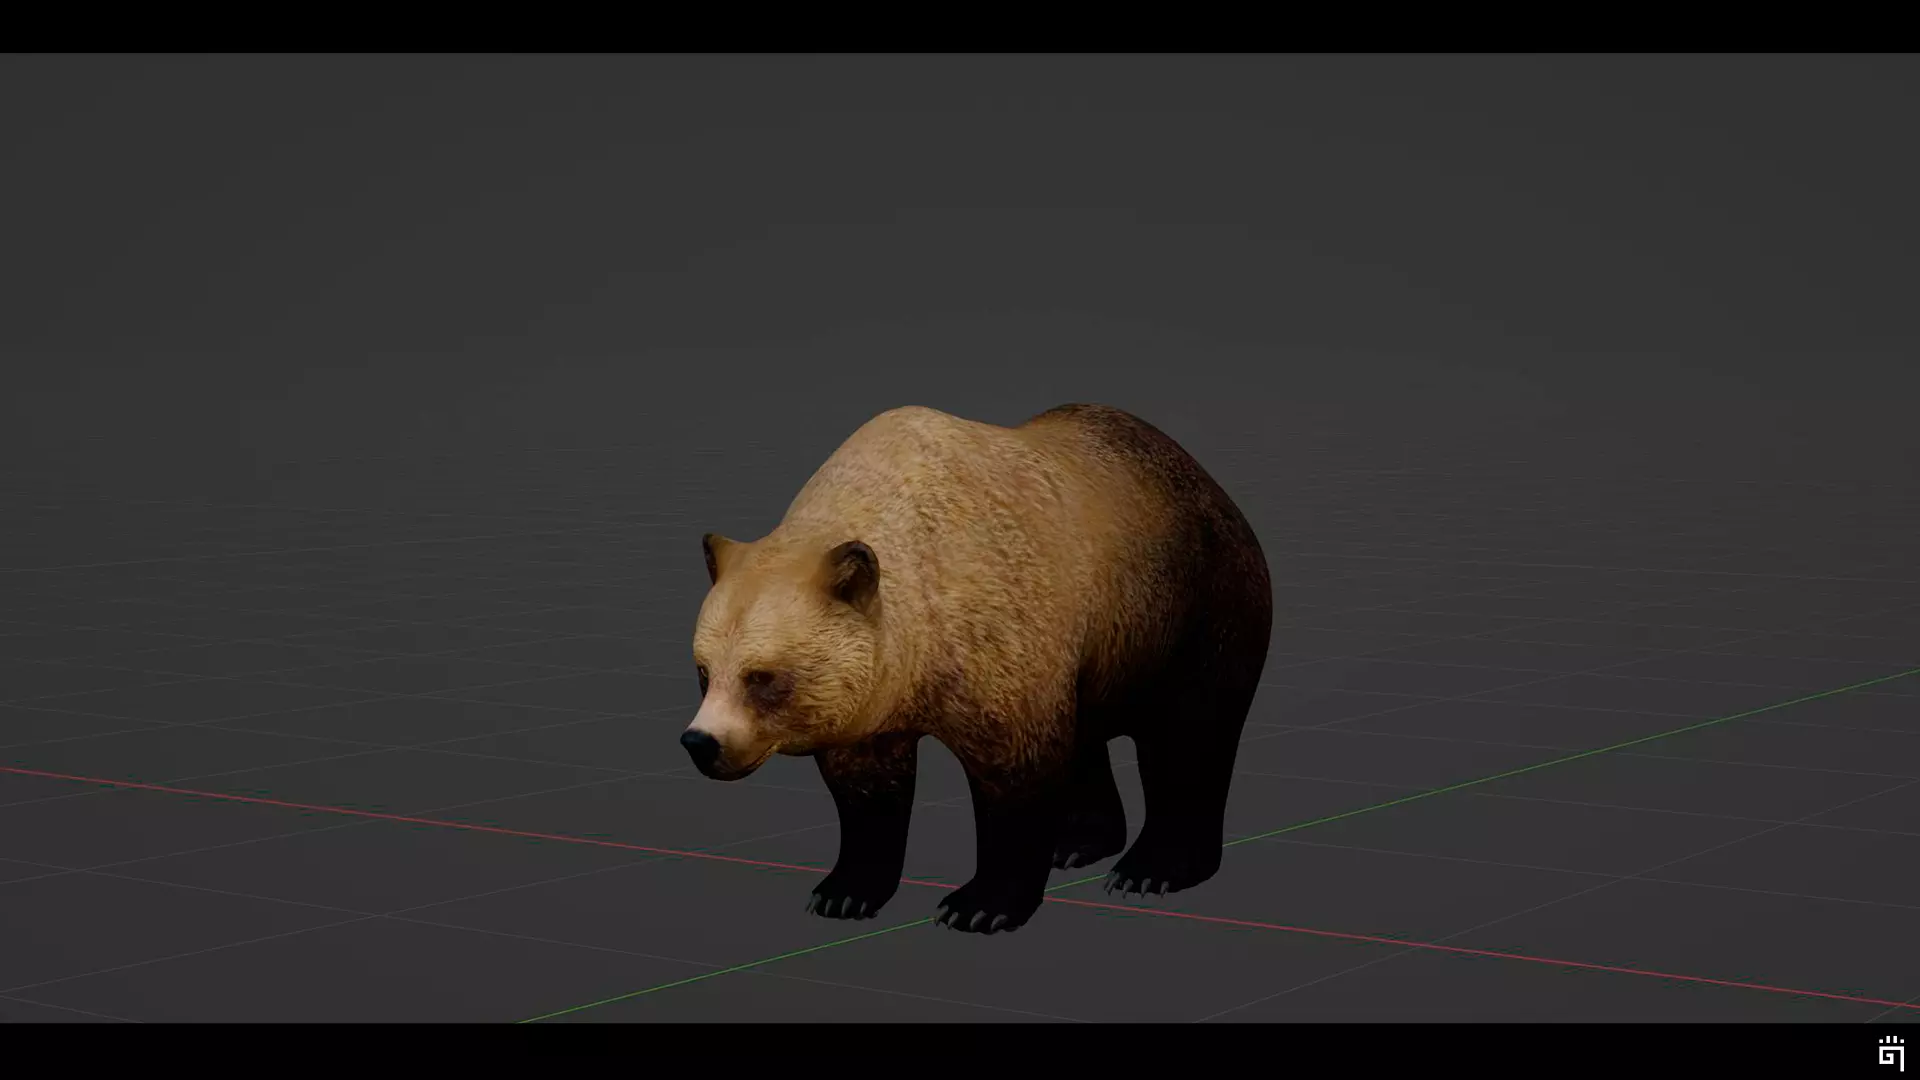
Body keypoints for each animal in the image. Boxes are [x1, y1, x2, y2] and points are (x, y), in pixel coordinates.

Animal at [681, 403, 1271, 934]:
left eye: (762, 677)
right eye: (704, 671)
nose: (701, 742)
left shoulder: (998, 632)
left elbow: (1015, 771)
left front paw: (979, 905)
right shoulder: (875, 701)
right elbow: (868, 786)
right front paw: (842, 891)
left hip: (1192, 603)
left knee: (1190, 735)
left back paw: (1152, 869)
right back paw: (1077, 842)